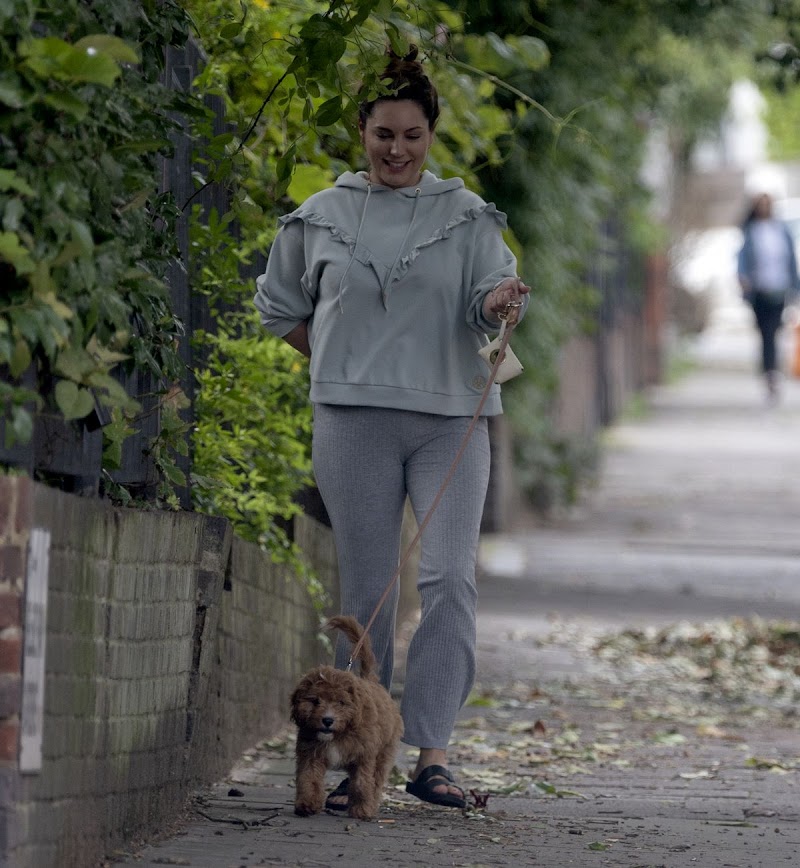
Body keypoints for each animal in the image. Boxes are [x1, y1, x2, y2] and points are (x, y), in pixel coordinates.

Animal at [290, 616, 404, 820]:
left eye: (341, 703)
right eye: (315, 701)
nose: (328, 720)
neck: (338, 734)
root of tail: (370, 680)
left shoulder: (365, 755)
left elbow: (362, 783)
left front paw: (363, 810)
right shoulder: (310, 754)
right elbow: (308, 778)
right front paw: (307, 804)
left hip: (385, 751)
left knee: (377, 778)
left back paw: (371, 802)